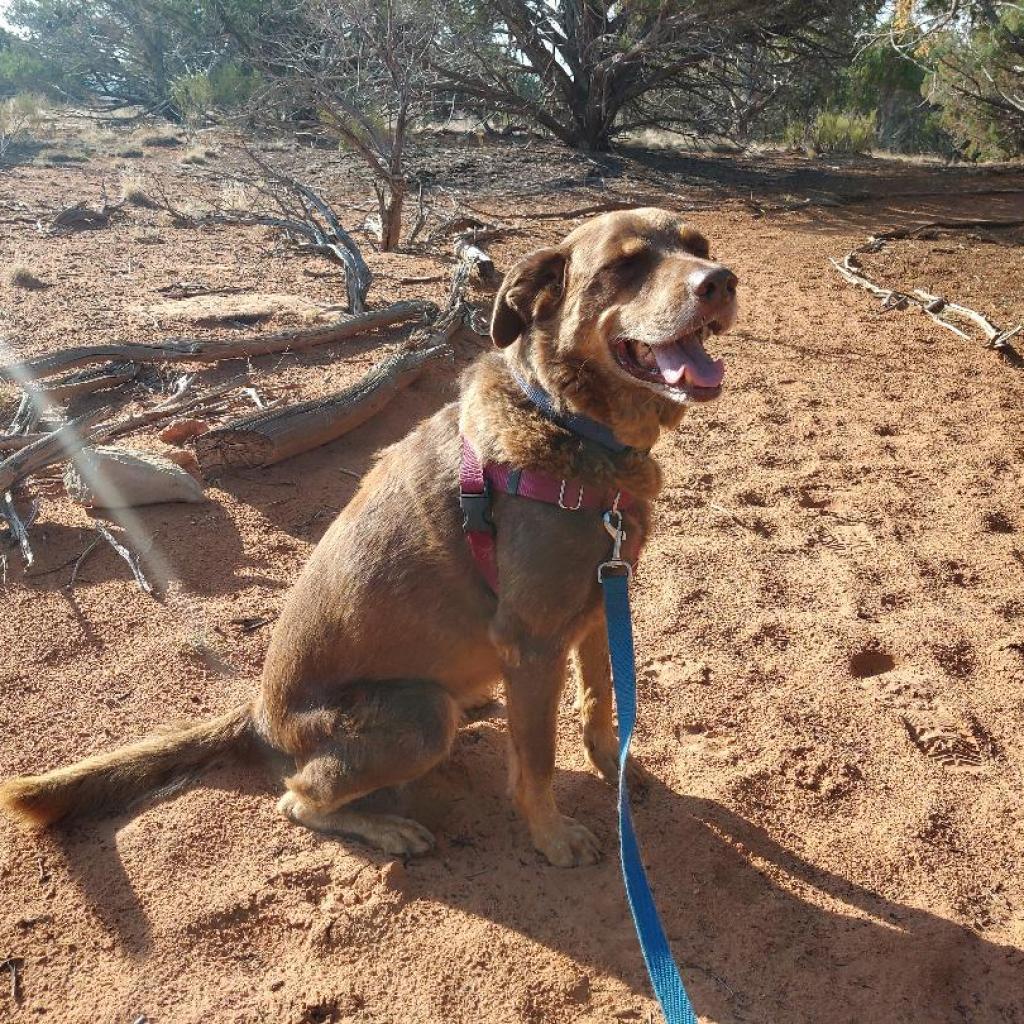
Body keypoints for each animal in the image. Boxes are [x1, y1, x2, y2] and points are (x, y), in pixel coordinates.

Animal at [0, 207, 737, 864]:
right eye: (626, 265)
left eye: (700, 245)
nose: (723, 280)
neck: (570, 426)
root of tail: (258, 714)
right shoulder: (532, 643)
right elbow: (538, 762)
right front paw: (552, 838)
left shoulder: (596, 609)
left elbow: (599, 705)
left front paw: (619, 771)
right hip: (418, 718)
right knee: (298, 799)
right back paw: (388, 829)